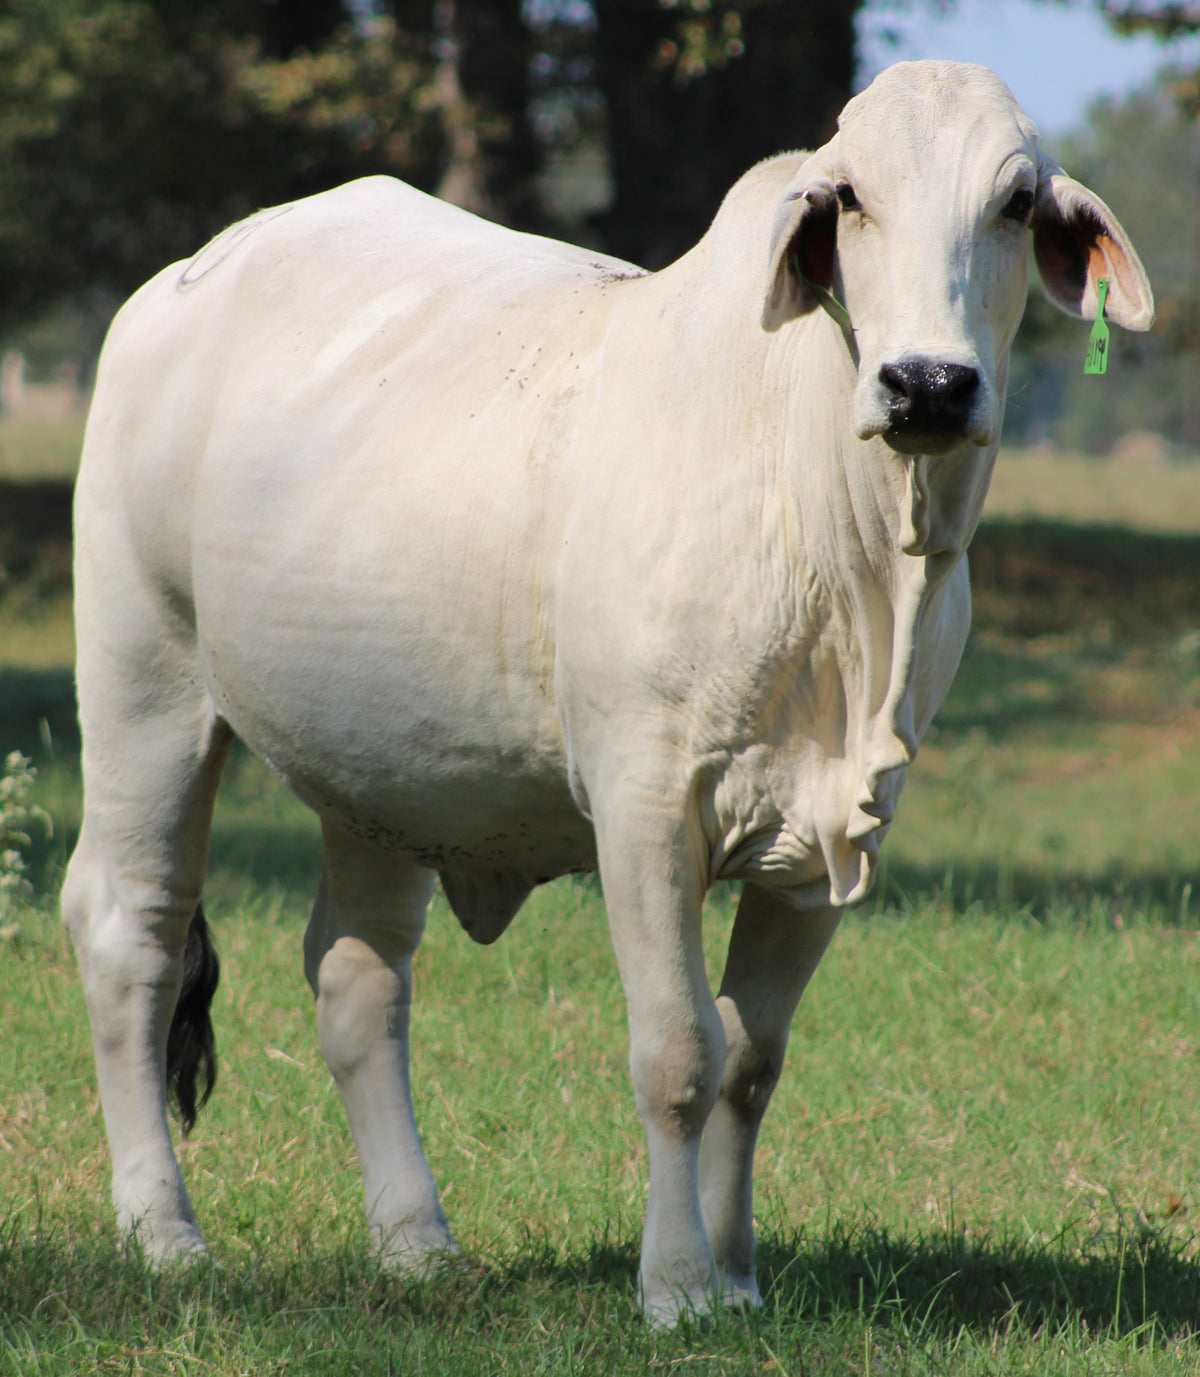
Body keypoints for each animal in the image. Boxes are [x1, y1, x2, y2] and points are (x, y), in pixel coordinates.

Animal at [58, 61, 1151, 1321]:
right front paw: (675, 1286)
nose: (927, 383)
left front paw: (737, 1278)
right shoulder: (646, 805)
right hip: (143, 678)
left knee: (357, 977)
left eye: (1016, 202)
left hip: (379, 771)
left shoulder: (838, 832)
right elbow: (679, 1054)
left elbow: (752, 1062)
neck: (852, 556)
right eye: (851, 197)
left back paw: (416, 1241)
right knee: (131, 932)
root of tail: (188, 277)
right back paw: (162, 1231)